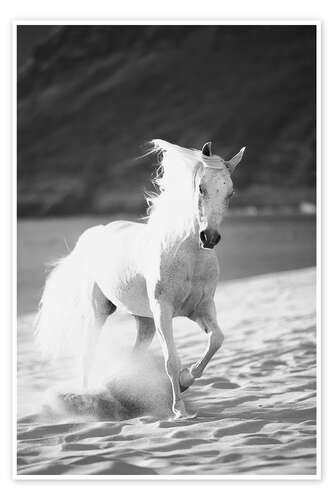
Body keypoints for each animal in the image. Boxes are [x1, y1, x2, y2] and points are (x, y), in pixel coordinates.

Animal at [35, 140, 244, 418]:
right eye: (201, 188)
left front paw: (186, 380)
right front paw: (179, 410)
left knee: (134, 354)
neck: (189, 257)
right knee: (88, 354)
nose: (209, 237)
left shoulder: (202, 308)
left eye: (230, 192)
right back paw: (87, 398)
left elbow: (216, 340)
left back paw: (118, 388)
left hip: (145, 321)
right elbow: (171, 359)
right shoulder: (163, 310)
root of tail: (94, 234)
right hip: (99, 312)